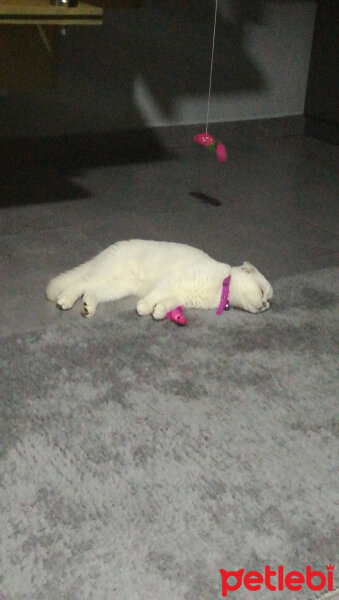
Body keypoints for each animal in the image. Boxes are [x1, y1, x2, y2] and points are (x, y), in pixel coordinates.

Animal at [45, 240, 274, 318]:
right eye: (262, 293)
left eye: (268, 301)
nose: (265, 305)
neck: (219, 289)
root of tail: (110, 247)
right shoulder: (174, 279)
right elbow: (157, 294)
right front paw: (145, 307)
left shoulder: (182, 297)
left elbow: (168, 301)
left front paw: (159, 311)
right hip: (105, 272)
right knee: (79, 284)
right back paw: (65, 301)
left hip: (116, 287)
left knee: (92, 291)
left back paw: (88, 308)